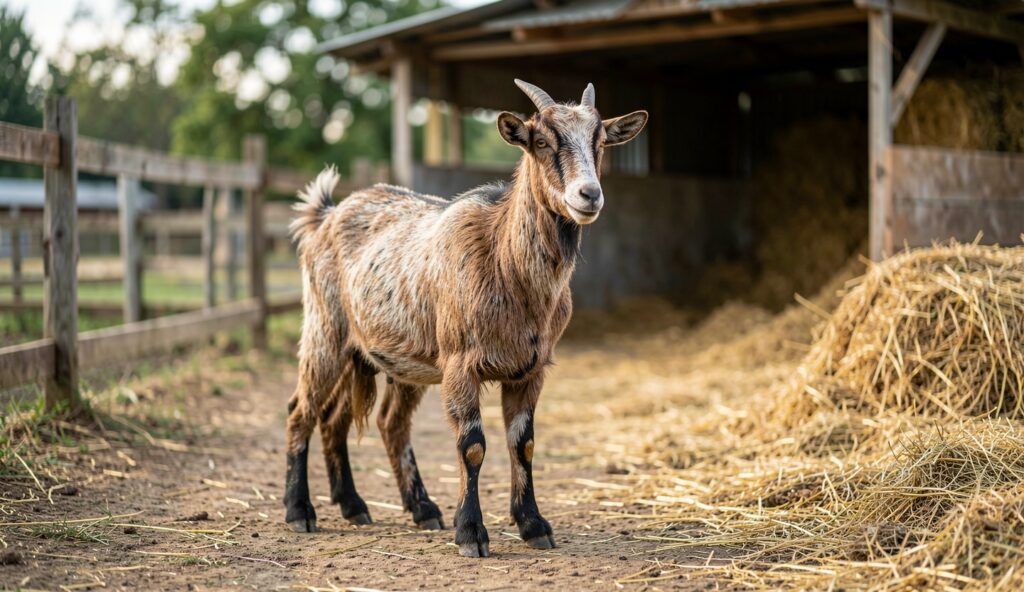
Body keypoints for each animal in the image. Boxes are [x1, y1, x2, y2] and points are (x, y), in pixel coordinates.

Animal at [285, 79, 648, 557]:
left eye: (600, 142)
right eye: (541, 141)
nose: (589, 195)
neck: (504, 259)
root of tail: (326, 213)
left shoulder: (531, 369)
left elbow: (524, 444)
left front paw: (533, 525)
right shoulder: (460, 362)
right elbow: (472, 445)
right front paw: (472, 533)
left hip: (381, 355)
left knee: (370, 421)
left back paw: (387, 507)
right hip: (324, 329)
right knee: (301, 410)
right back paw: (300, 511)